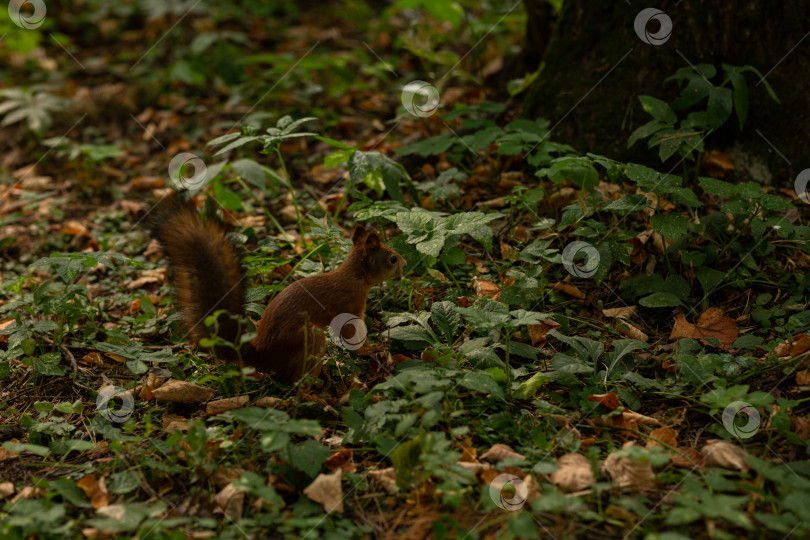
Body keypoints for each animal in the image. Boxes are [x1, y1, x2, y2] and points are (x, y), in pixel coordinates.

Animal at [148, 193, 404, 384]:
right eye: (392, 258)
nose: (405, 264)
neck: (355, 275)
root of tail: (262, 355)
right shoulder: (350, 305)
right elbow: (352, 335)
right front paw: (370, 350)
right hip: (307, 338)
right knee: (296, 381)